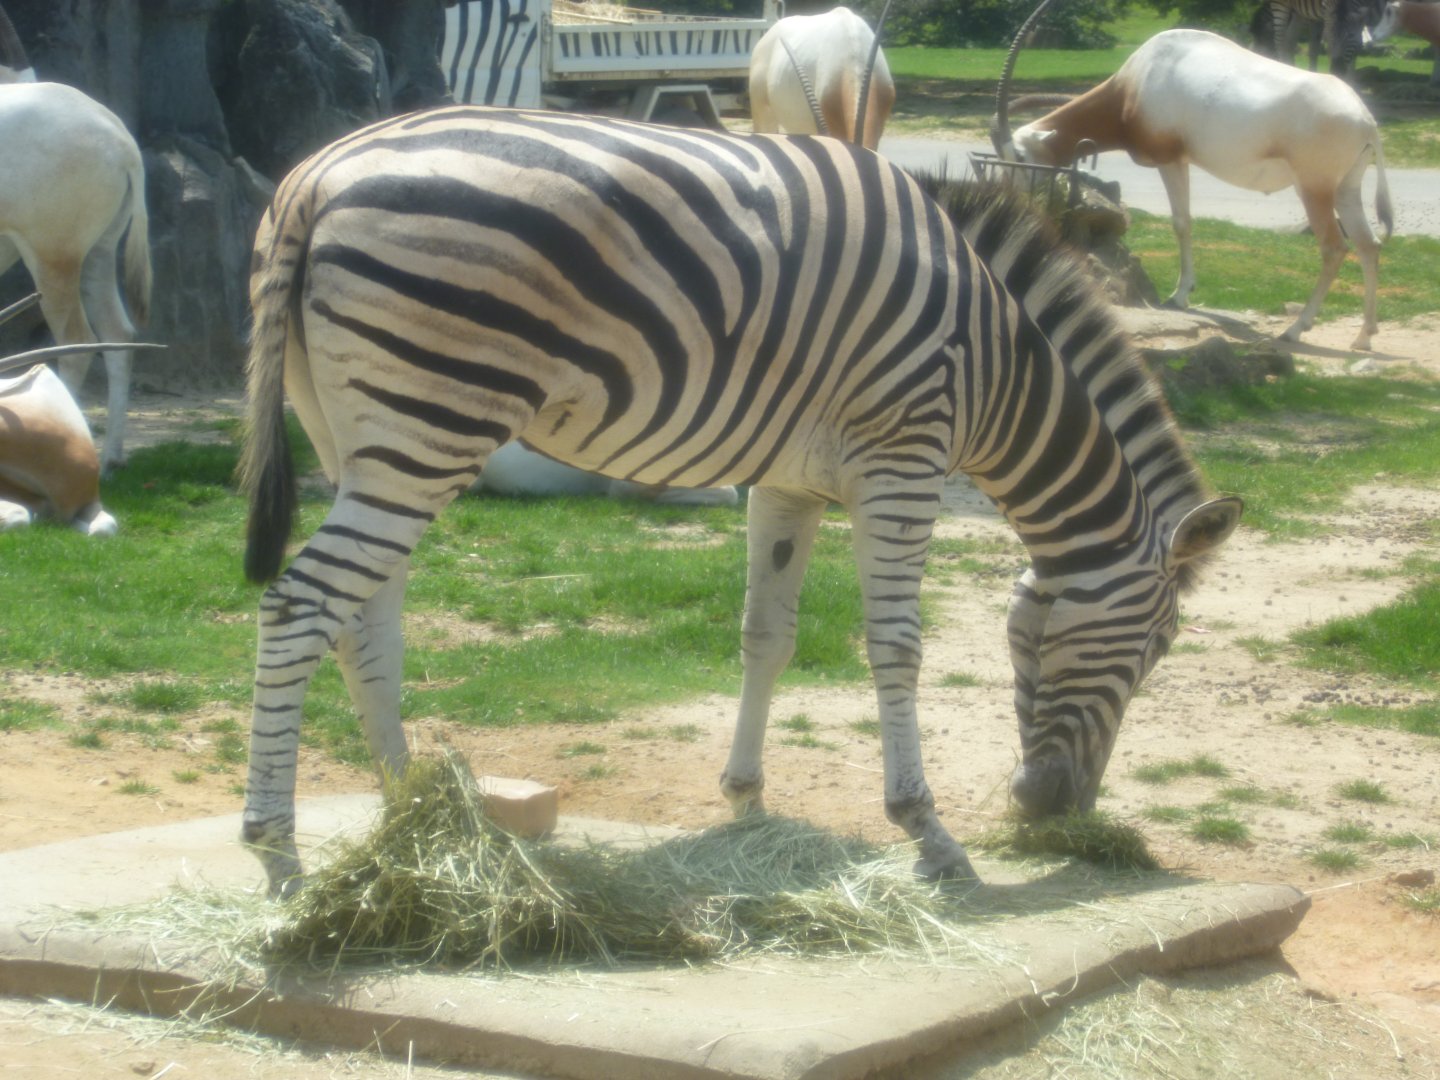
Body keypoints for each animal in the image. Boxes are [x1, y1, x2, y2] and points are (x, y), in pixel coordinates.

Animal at [238, 106, 1242, 897]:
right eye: (1157, 648)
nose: (1053, 809)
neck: (999, 364)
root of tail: (319, 175)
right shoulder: (904, 458)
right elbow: (897, 647)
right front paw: (928, 832)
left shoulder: (788, 480)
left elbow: (768, 635)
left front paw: (747, 801)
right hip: (432, 421)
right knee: (299, 608)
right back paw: (280, 855)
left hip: (356, 437)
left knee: (361, 624)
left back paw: (421, 822)